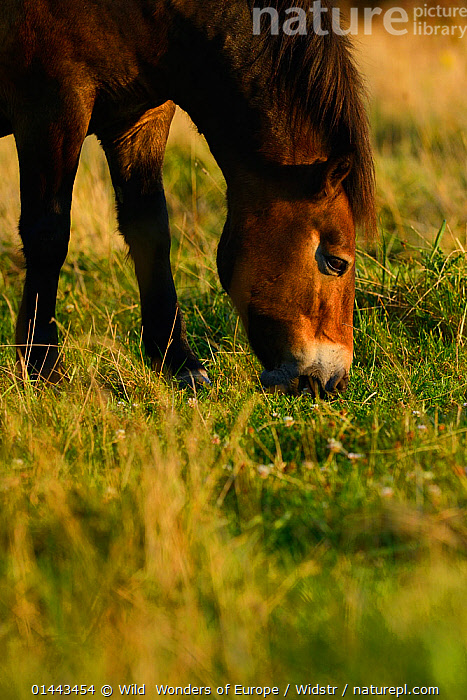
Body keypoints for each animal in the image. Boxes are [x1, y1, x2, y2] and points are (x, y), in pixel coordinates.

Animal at [0, 0, 375, 396]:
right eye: (337, 262)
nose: (332, 381)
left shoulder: (139, 118)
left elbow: (151, 234)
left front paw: (178, 362)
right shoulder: (50, 107)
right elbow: (48, 238)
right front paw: (44, 369)